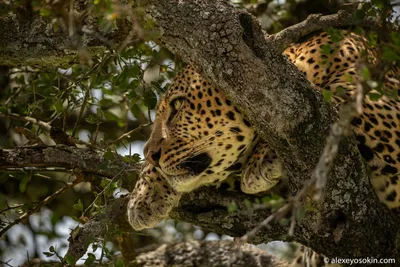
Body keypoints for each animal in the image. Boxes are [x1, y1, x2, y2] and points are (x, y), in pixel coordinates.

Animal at [128, 30, 400, 260]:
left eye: (177, 106)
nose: (150, 154)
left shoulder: (388, 111)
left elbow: (333, 102)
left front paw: (265, 157)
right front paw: (143, 195)